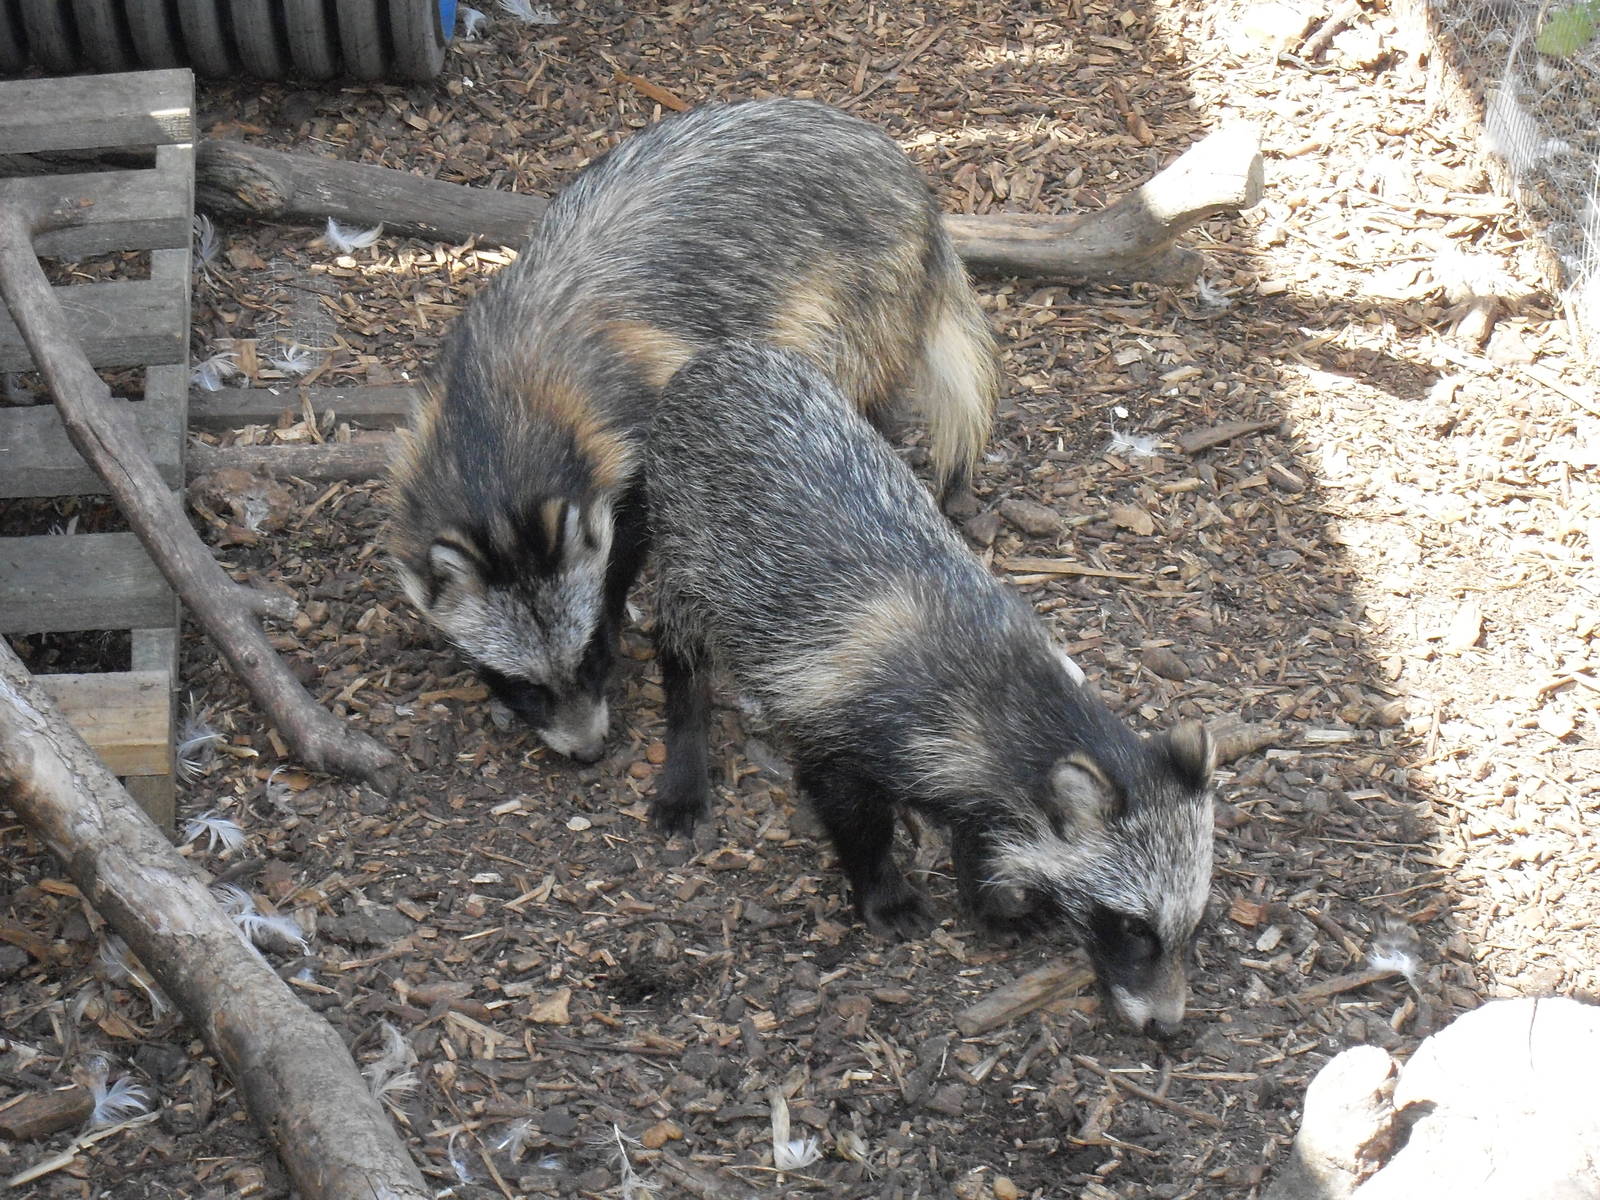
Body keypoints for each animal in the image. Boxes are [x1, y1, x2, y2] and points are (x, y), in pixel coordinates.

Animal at [386, 98, 999, 762]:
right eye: (522, 684)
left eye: (588, 657)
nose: (589, 752)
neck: (490, 428)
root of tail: (912, 184)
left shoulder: (643, 411)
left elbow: (638, 521)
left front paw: (616, 595)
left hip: (859, 288)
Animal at [646, 343, 1214, 1036]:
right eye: (1134, 926)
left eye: (1192, 925)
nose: (1168, 1026)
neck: (1004, 696)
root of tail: (721, 357)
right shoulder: (845, 722)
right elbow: (851, 812)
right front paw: (886, 894)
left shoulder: (972, 769)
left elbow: (980, 830)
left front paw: (993, 901)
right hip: (683, 538)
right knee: (679, 646)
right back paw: (684, 761)